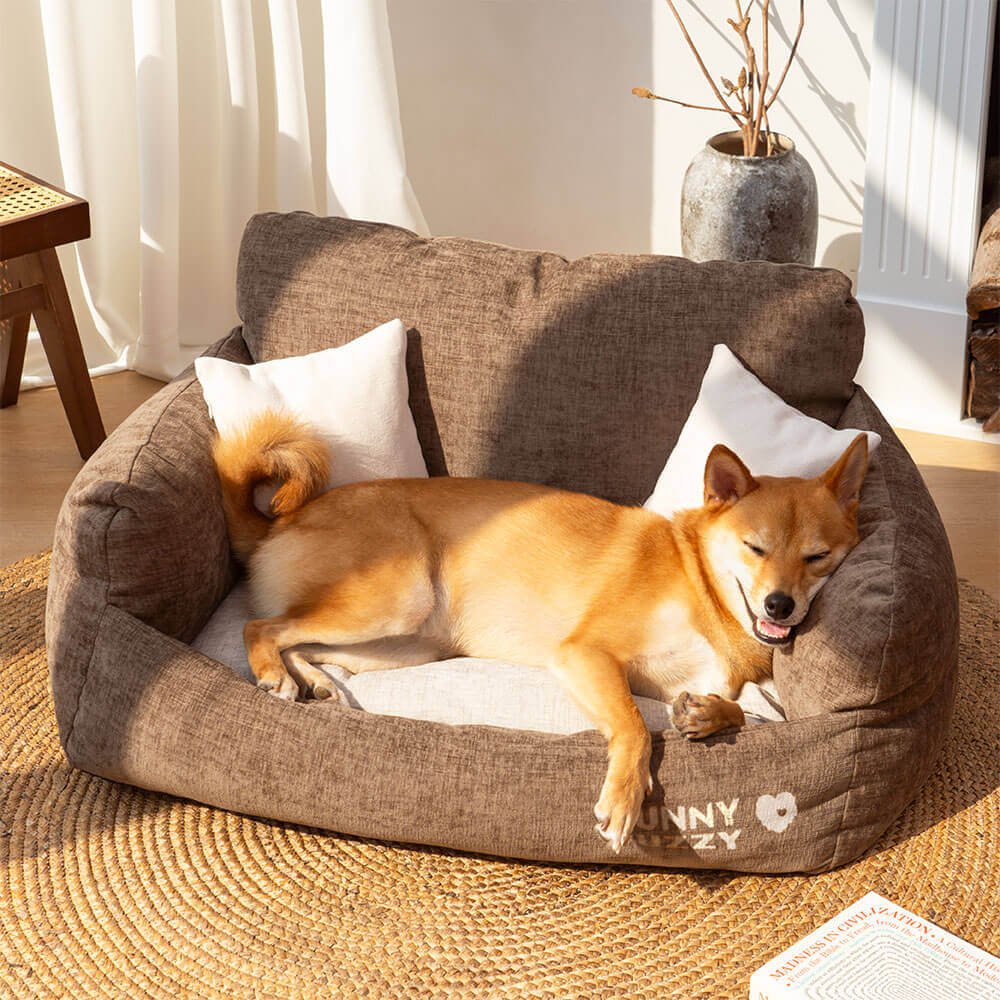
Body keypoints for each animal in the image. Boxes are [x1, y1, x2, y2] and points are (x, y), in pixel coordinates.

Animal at [213, 410, 868, 856]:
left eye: (816, 557)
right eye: (755, 548)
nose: (780, 605)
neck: (703, 585)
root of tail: (281, 523)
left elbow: (741, 712)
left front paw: (706, 715)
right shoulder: (585, 655)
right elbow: (635, 728)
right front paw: (624, 798)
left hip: (406, 643)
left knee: (301, 641)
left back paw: (314, 682)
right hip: (395, 596)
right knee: (261, 625)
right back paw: (275, 675)